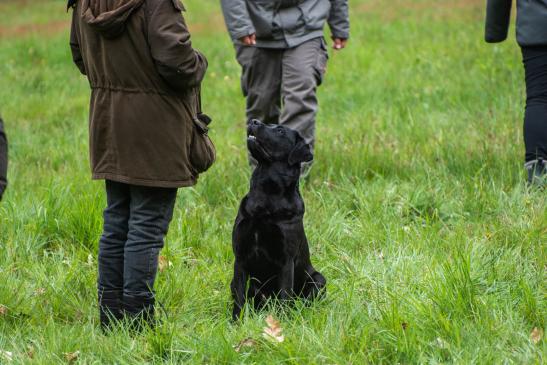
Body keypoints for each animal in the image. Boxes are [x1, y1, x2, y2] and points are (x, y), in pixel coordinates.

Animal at [230, 118, 326, 318]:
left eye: (281, 130)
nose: (254, 121)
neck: (267, 195)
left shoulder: (286, 260)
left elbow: (284, 296)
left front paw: (281, 322)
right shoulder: (240, 257)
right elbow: (240, 297)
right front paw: (236, 321)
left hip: (318, 280)